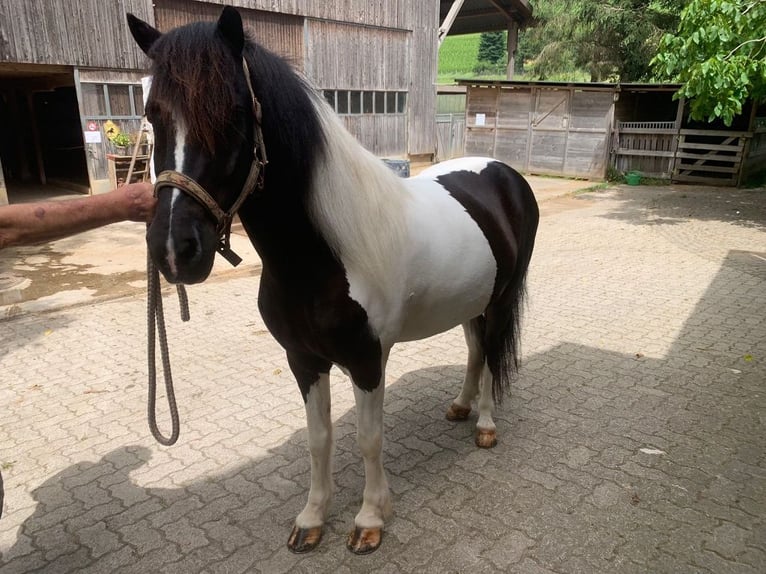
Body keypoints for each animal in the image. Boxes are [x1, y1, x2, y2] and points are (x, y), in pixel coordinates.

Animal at [127, 6, 539, 555]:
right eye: (153, 115)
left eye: (233, 113)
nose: (175, 249)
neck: (322, 257)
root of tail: (505, 174)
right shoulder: (303, 360)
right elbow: (318, 438)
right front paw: (311, 518)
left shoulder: (367, 360)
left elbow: (368, 439)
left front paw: (369, 519)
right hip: (472, 300)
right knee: (475, 350)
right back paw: (460, 406)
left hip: (500, 301)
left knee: (492, 353)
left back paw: (487, 424)